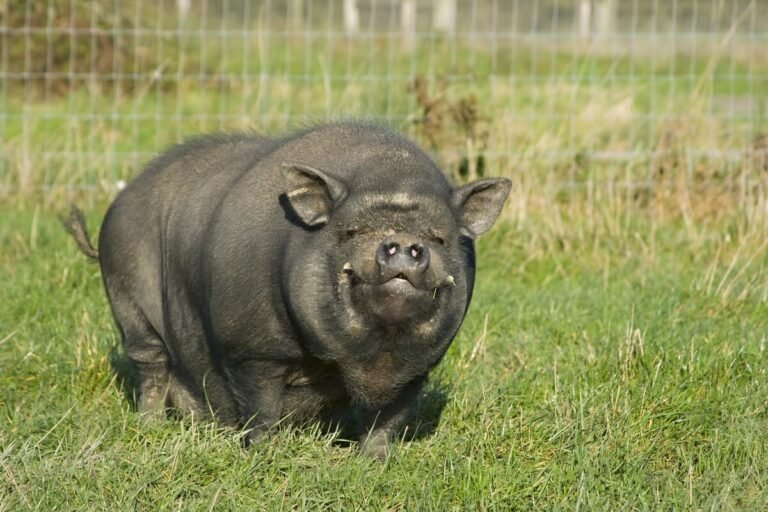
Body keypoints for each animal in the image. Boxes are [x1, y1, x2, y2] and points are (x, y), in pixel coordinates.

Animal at [63, 122, 511, 459]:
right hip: (129, 302)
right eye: (352, 231)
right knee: (151, 365)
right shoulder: (252, 347)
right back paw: (150, 426)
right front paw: (262, 453)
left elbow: (391, 415)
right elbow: (261, 406)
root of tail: (118, 203)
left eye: (439, 238)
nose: (402, 243)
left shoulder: (419, 367)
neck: (371, 359)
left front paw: (375, 461)